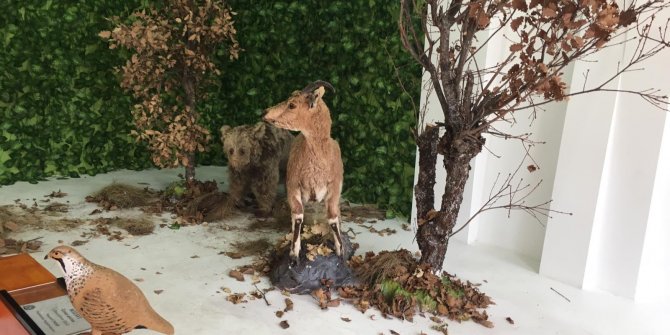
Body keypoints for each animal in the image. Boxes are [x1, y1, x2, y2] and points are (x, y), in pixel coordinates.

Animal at [264, 80, 344, 264]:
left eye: (292, 104)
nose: (265, 112)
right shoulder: (293, 187)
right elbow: (298, 217)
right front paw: (294, 255)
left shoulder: (334, 189)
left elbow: (333, 218)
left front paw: (340, 251)